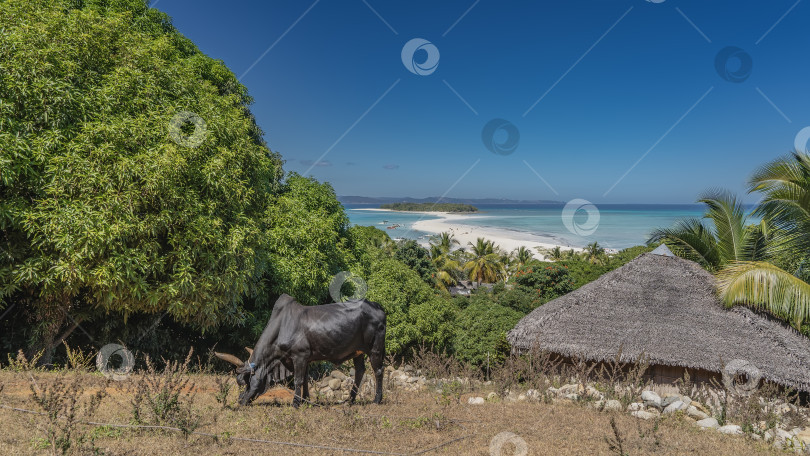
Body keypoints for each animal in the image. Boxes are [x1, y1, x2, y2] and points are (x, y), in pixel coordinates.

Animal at [215, 294, 386, 408]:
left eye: (246, 381)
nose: (240, 401)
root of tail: (377, 306)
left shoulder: (299, 356)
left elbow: (298, 380)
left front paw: (296, 403)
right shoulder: (305, 359)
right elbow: (304, 379)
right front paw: (306, 401)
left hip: (375, 349)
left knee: (378, 370)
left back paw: (376, 400)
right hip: (358, 352)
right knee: (360, 372)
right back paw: (349, 400)